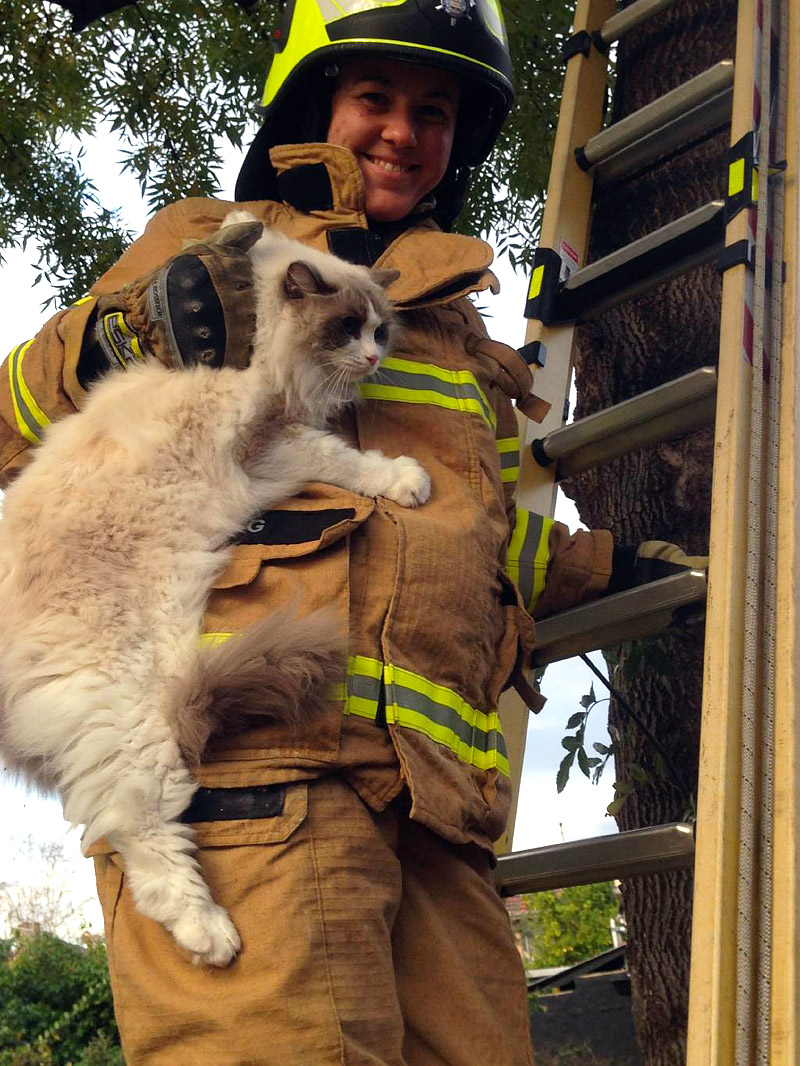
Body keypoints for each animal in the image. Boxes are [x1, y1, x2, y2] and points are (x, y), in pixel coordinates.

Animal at [0, 216, 433, 967]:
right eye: (347, 327)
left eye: (381, 329)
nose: (374, 358)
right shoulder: (269, 432)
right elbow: (340, 453)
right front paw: (407, 479)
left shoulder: (278, 445)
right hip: (137, 727)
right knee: (142, 838)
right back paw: (211, 934)